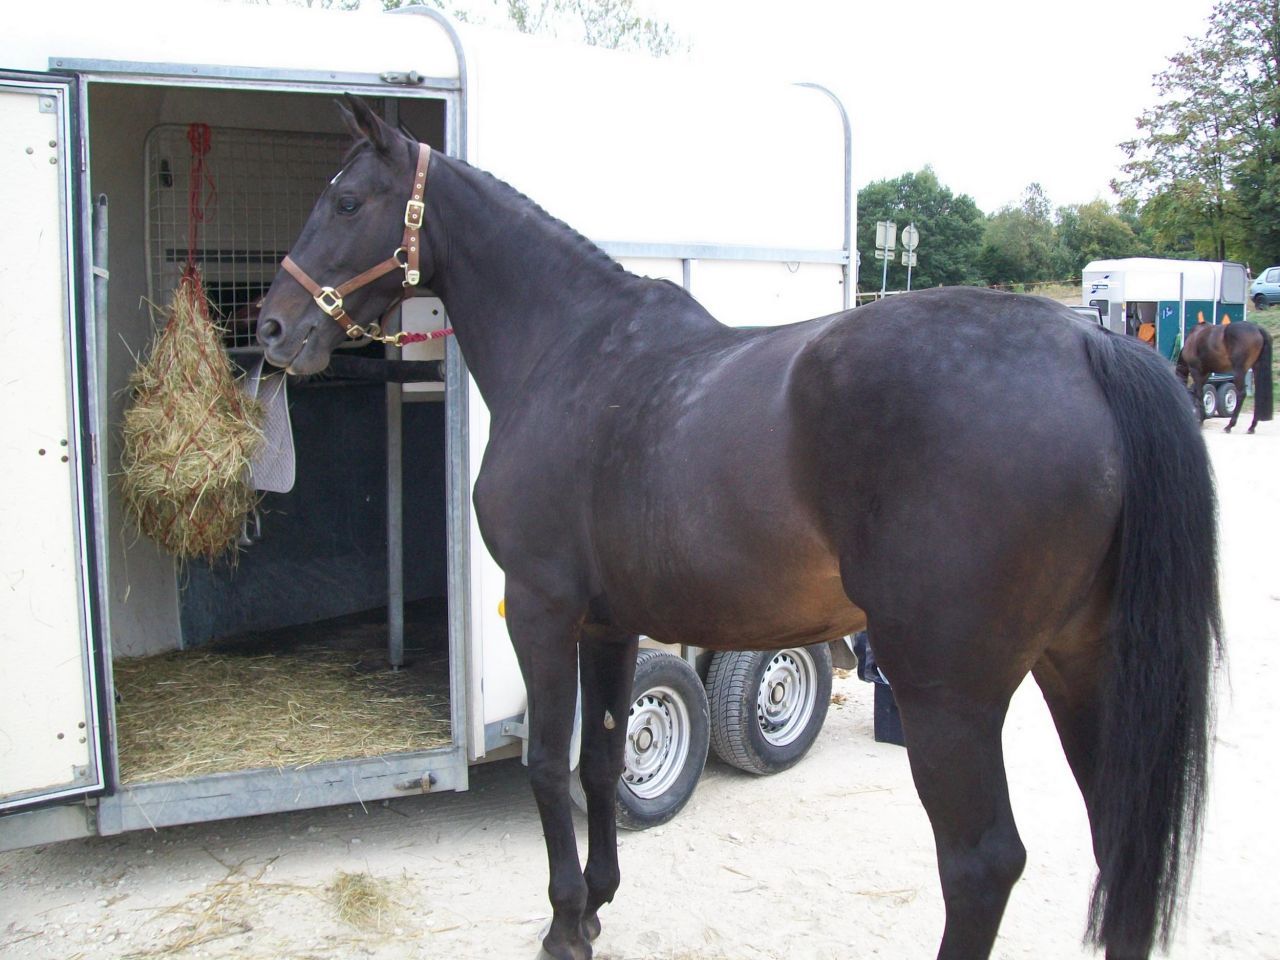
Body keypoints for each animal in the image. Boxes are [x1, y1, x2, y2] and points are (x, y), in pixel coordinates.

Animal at [257, 96, 1221, 960]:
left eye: (348, 202)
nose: (271, 326)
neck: (568, 352)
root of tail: (1091, 346)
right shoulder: (610, 622)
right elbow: (602, 759)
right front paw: (598, 904)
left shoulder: (539, 607)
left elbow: (545, 764)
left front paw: (565, 927)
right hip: (1082, 666)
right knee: (1116, 837)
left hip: (949, 693)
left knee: (981, 863)